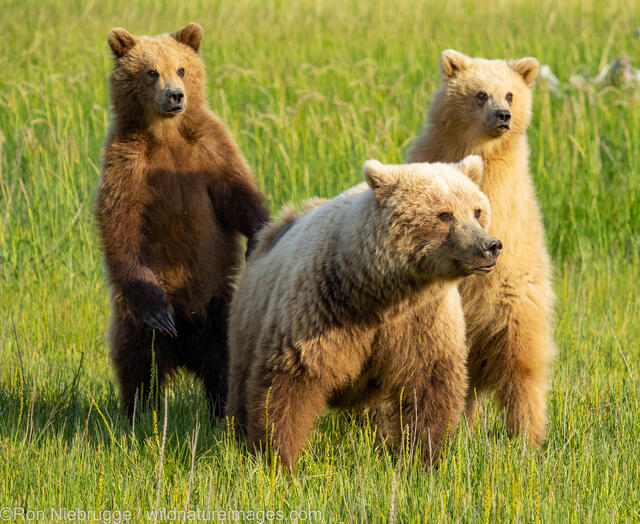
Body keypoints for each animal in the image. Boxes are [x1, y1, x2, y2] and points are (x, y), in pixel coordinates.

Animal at [94, 23, 268, 418]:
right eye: (151, 71)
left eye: (182, 69)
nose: (175, 96)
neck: (165, 134)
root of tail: (187, 348)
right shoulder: (127, 164)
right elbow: (120, 225)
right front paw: (158, 311)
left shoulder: (209, 149)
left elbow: (239, 193)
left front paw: (259, 238)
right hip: (135, 317)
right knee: (138, 359)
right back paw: (139, 412)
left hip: (219, 303)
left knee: (224, 357)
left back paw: (221, 410)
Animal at [228, 157, 502, 470]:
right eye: (444, 214)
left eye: (477, 210)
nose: (490, 245)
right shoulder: (321, 309)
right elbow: (290, 381)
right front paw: (279, 458)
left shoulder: (422, 320)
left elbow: (430, 384)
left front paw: (422, 458)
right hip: (249, 317)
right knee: (241, 381)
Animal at [410, 49, 556, 444]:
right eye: (479, 94)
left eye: (509, 94)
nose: (502, 115)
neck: (478, 149)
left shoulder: (506, 193)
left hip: (515, 309)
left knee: (522, 371)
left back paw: (526, 437)